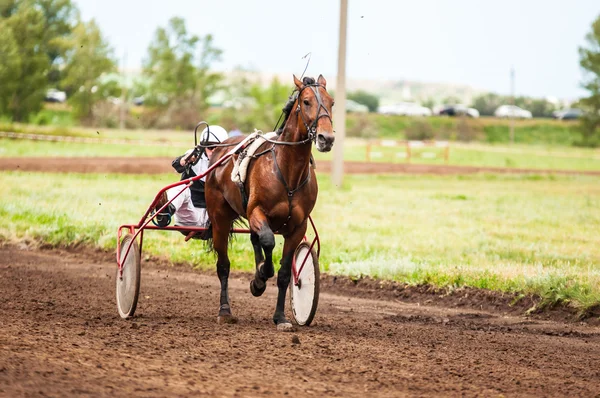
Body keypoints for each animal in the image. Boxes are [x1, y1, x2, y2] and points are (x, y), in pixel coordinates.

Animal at [206, 74, 336, 330]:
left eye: (332, 102)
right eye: (306, 101)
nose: (326, 138)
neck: (288, 171)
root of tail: (220, 150)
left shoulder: (298, 226)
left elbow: (285, 273)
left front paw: (281, 317)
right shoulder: (257, 212)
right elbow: (267, 241)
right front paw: (260, 278)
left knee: (254, 240)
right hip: (219, 218)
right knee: (224, 265)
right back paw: (225, 310)